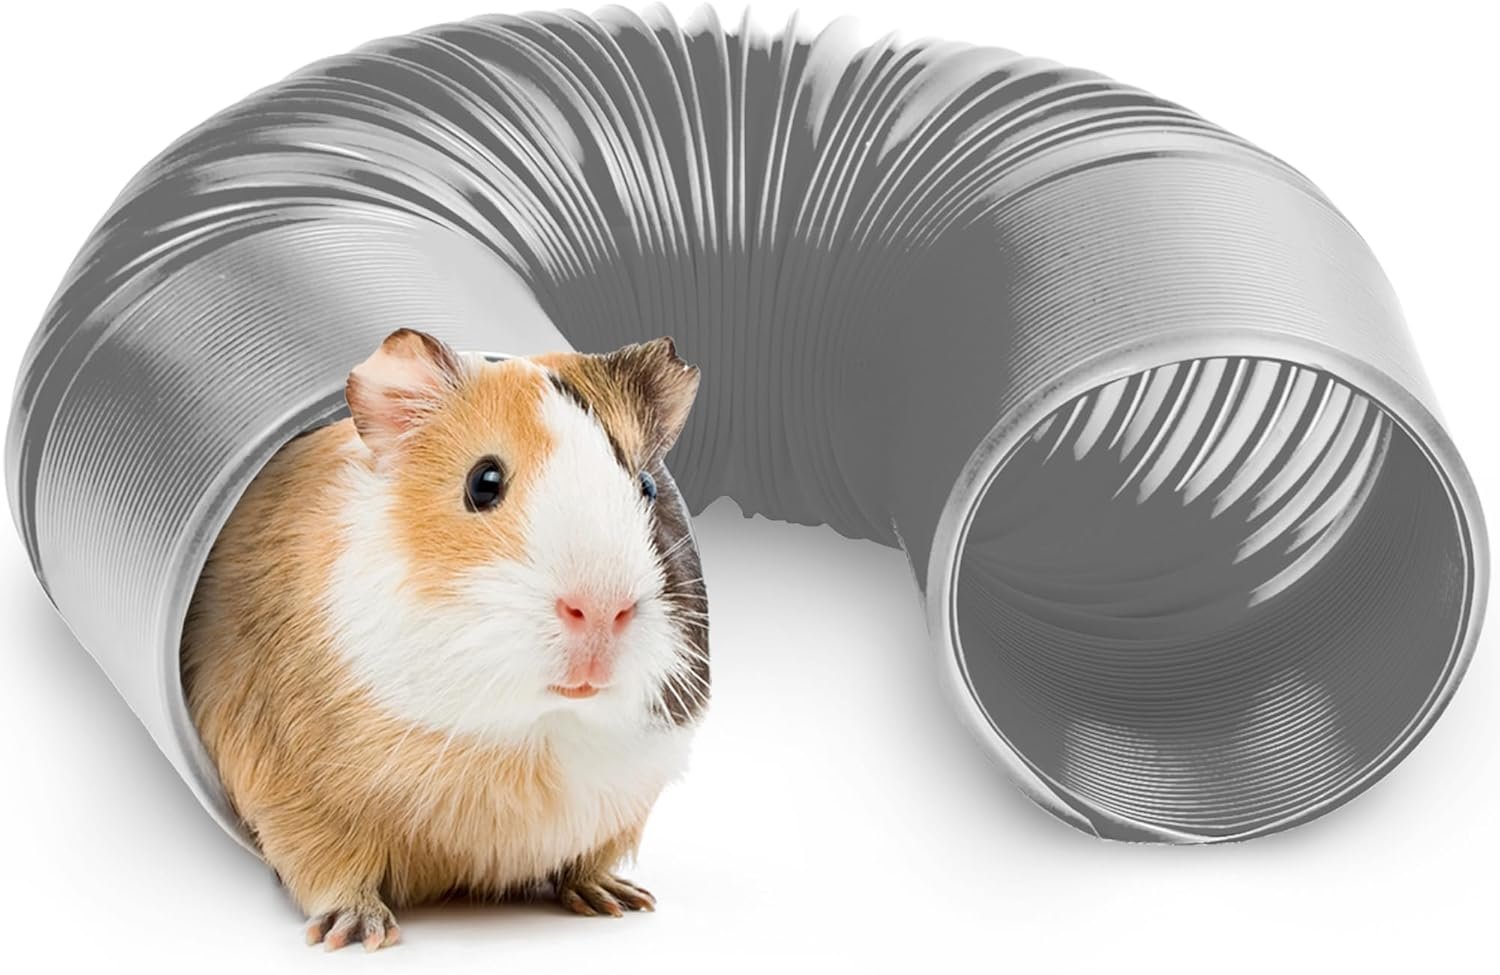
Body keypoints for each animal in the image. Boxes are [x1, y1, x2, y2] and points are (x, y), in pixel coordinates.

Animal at [180, 328, 708, 951]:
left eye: (646, 486)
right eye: (483, 482)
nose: (603, 609)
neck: (532, 737)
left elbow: (586, 860)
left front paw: (619, 902)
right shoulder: (296, 796)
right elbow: (331, 872)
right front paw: (357, 935)